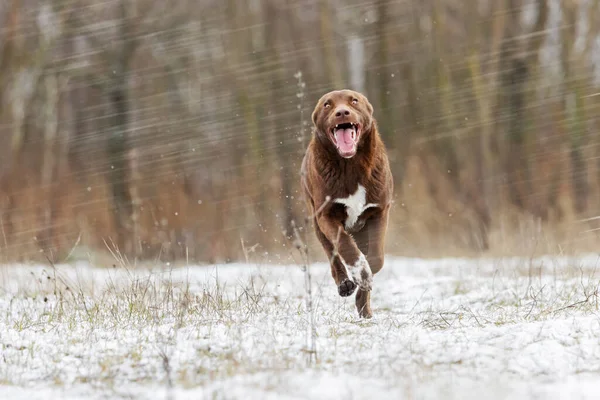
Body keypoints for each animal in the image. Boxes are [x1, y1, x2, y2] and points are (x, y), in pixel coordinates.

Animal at [300, 90, 394, 318]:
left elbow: (376, 259)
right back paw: (344, 284)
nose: (342, 112)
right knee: (332, 254)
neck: (350, 164)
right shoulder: (326, 215)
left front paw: (363, 291)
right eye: (327, 105)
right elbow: (344, 244)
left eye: (354, 100)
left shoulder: (379, 211)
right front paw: (359, 274)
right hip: (316, 222)